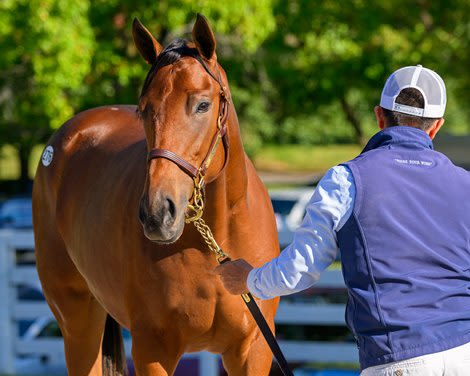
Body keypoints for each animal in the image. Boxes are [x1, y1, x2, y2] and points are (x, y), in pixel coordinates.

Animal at [32, 13, 280, 374]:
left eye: (202, 105)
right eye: (144, 109)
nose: (157, 214)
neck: (214, 241)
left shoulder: (253, 349)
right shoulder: (152, 348)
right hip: (77, 321)